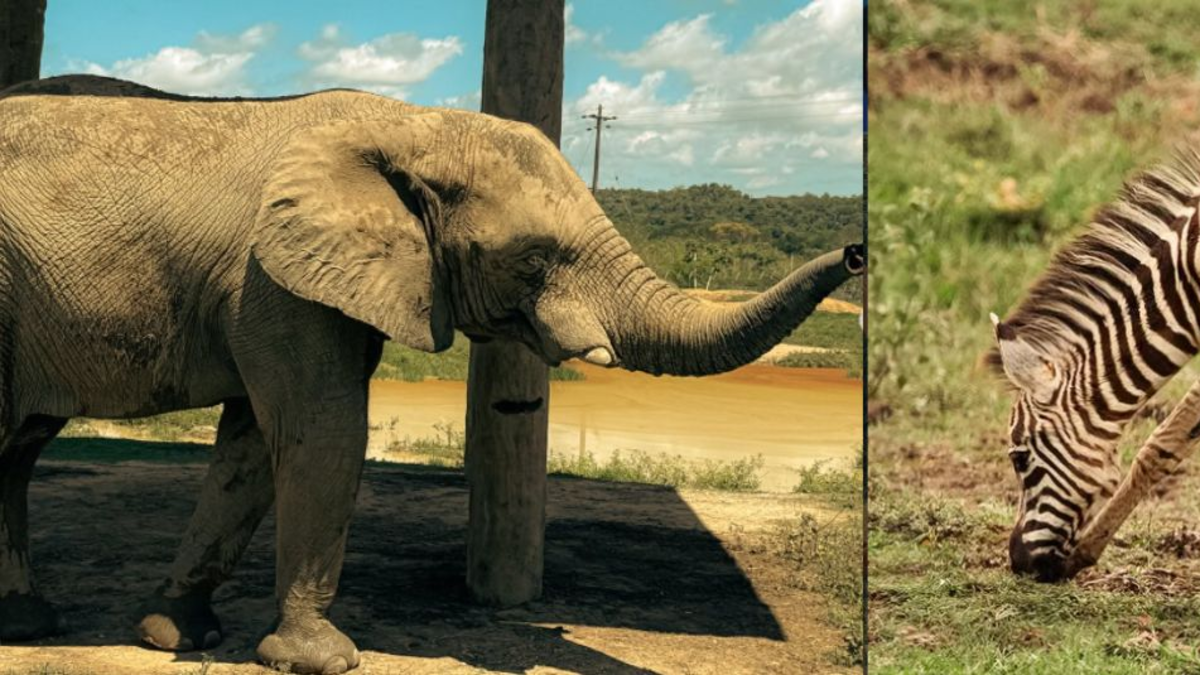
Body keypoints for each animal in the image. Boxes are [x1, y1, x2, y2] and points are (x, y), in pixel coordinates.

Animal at [0, 75, 864, 673]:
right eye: (533, 257)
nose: (857, 250)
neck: (407, 123)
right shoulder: (271, 277)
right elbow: (321, 429)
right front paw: (318, 659)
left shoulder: (291, 282)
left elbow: (252, 445)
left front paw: (175, 633)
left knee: (18, 447)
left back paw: (25, 622)